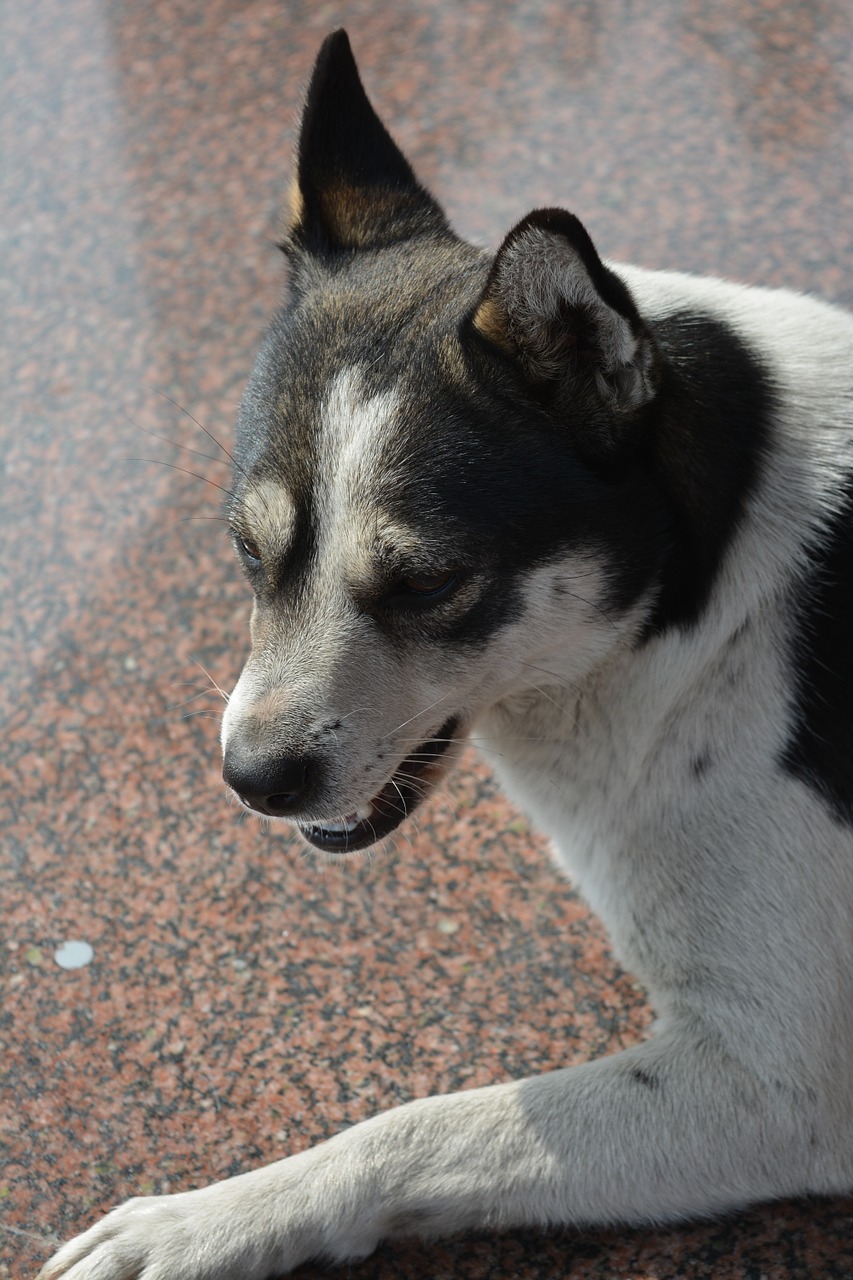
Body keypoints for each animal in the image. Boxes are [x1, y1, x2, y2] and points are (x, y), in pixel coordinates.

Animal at [44, 27, 850, 1280]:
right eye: (244, 551)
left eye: (427, 582)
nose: (251, 779)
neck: (704, 599)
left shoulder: (777, 1080)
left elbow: (417, 1124)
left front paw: (204, 1220)